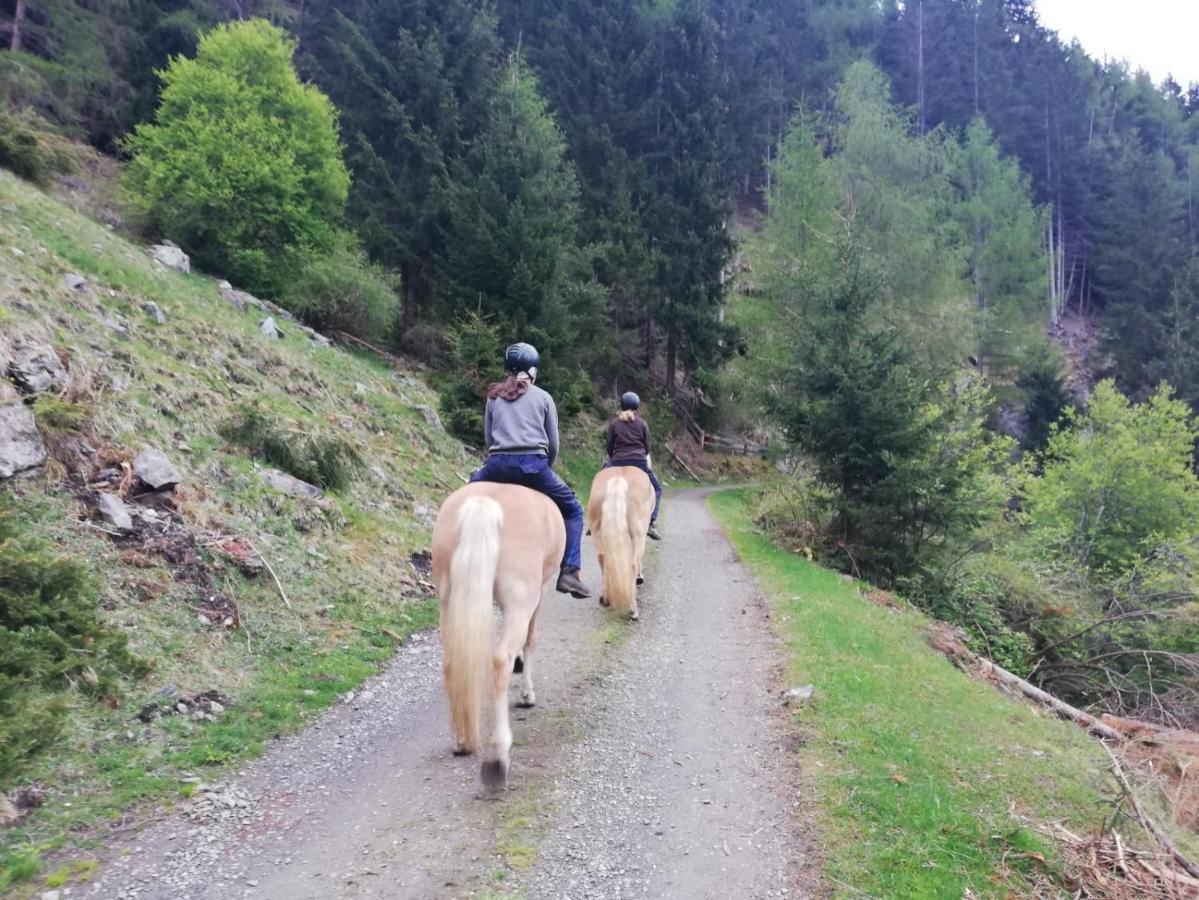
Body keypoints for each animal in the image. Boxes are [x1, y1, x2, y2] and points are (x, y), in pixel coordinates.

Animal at [429, 481, 563, 790]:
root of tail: (484, 503)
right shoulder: (537, 596)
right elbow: (530, 640)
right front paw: (527, 694)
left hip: (448, 601)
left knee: (453, 663)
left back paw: (462, 742)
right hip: (521, 600)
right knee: (501, 659)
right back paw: (497, 758)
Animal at [585, 464, 652, 618]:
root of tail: (618, 480)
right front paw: (640, 578)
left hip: (597, 533)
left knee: (603, 559)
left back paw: (605, 599)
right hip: (638, 536)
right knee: (632, 564)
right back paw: (633, 609)